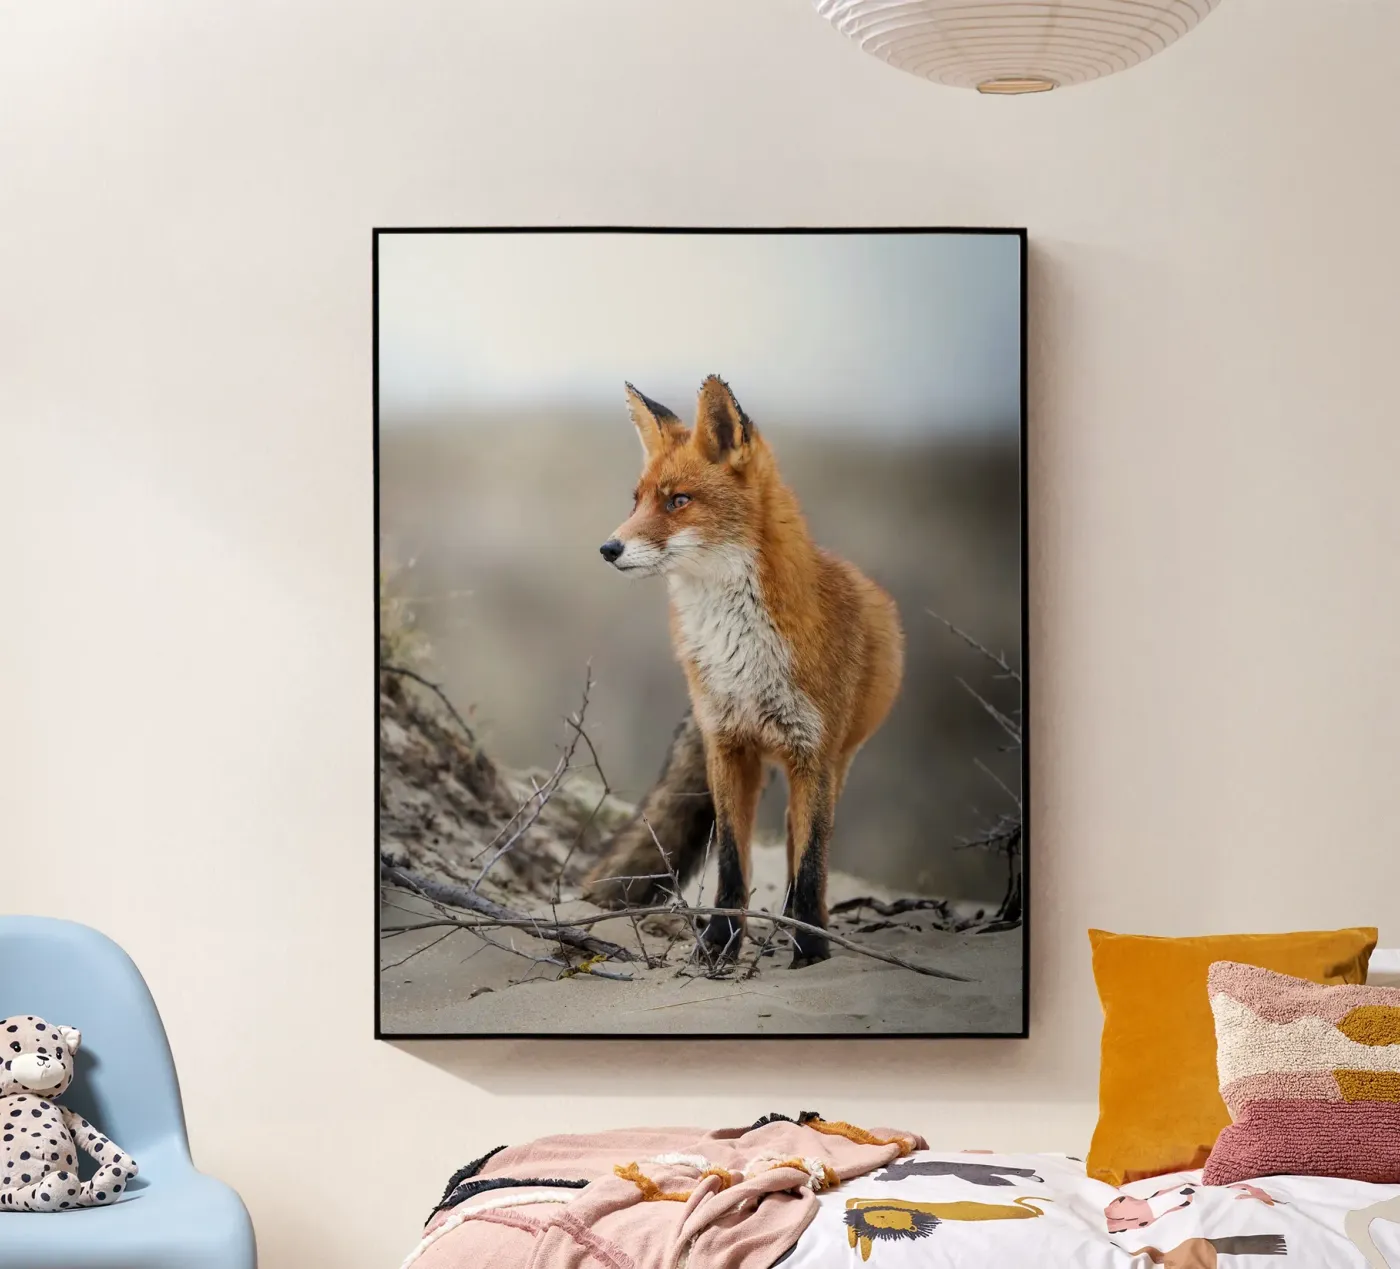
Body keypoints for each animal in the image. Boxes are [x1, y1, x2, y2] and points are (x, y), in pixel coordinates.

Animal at [584, 375, 904, 968]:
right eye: (637, 501)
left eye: (678, 501)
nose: (608, 547)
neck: (742, 655)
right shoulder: (727, 744)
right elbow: (732, 861)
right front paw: (718, 944)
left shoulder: (813, 753)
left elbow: (811, 863)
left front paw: (810, 949)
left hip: (834, 765)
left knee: (803, 848)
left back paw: (804, 924)